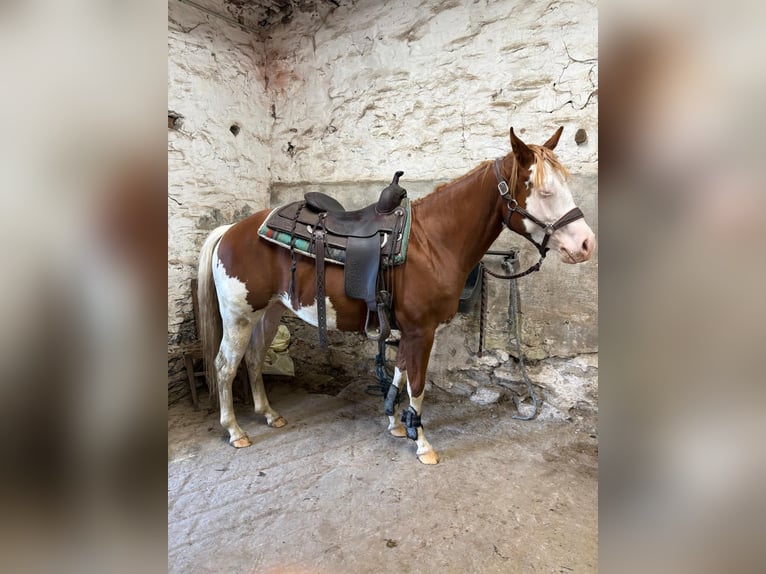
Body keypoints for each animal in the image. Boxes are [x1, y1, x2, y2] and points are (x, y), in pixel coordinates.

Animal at [196, 127, 595, 464]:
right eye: (544, 190)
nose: (586, 244)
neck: (432, 243)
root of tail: (231, 229)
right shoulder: (422, 331)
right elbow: (416, 383)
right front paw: (423, 443)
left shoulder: (407, 331)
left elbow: (400, 373)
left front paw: (397, 423)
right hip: (239, 317)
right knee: (225, 366)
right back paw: (235, 430)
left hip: (269, 312)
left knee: (253, 360)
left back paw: (268, 413)